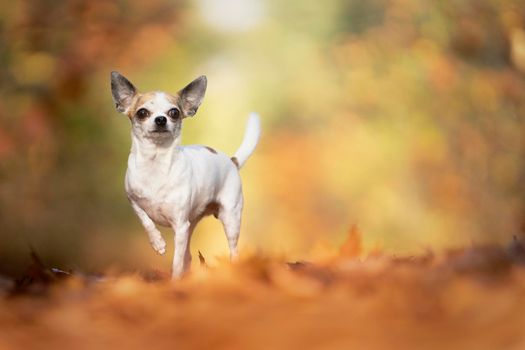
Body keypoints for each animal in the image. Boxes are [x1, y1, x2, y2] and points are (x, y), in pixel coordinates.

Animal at [110, 72, 260, 278]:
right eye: (142, 113)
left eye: (174, 112)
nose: (161, 119)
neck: (156, 162)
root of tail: (232, 161)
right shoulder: (133, 200)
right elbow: (145, 220)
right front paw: (157, 242)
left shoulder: (180, 226)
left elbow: (176, 262)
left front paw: (174, 280)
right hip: (192, 223)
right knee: (188, 255)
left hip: (230, 218)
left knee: (232, 249)